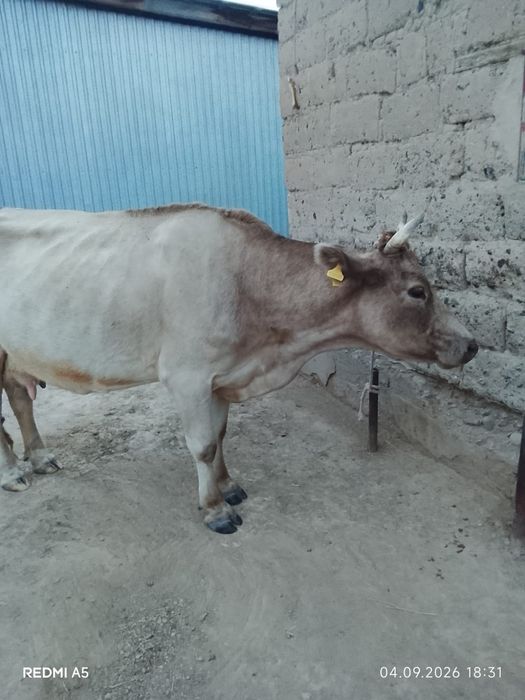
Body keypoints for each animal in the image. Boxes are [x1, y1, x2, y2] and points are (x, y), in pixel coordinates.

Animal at [0, 204, 478, 533]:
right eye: (417, 291)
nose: (472, 344)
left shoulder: (221, 377)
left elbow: (221, 435)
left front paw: (229, 486)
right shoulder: (187, 377)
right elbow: (202, 445)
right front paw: (215, 510)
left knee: (20, 399)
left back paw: (39, 457)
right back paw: (12, 473)